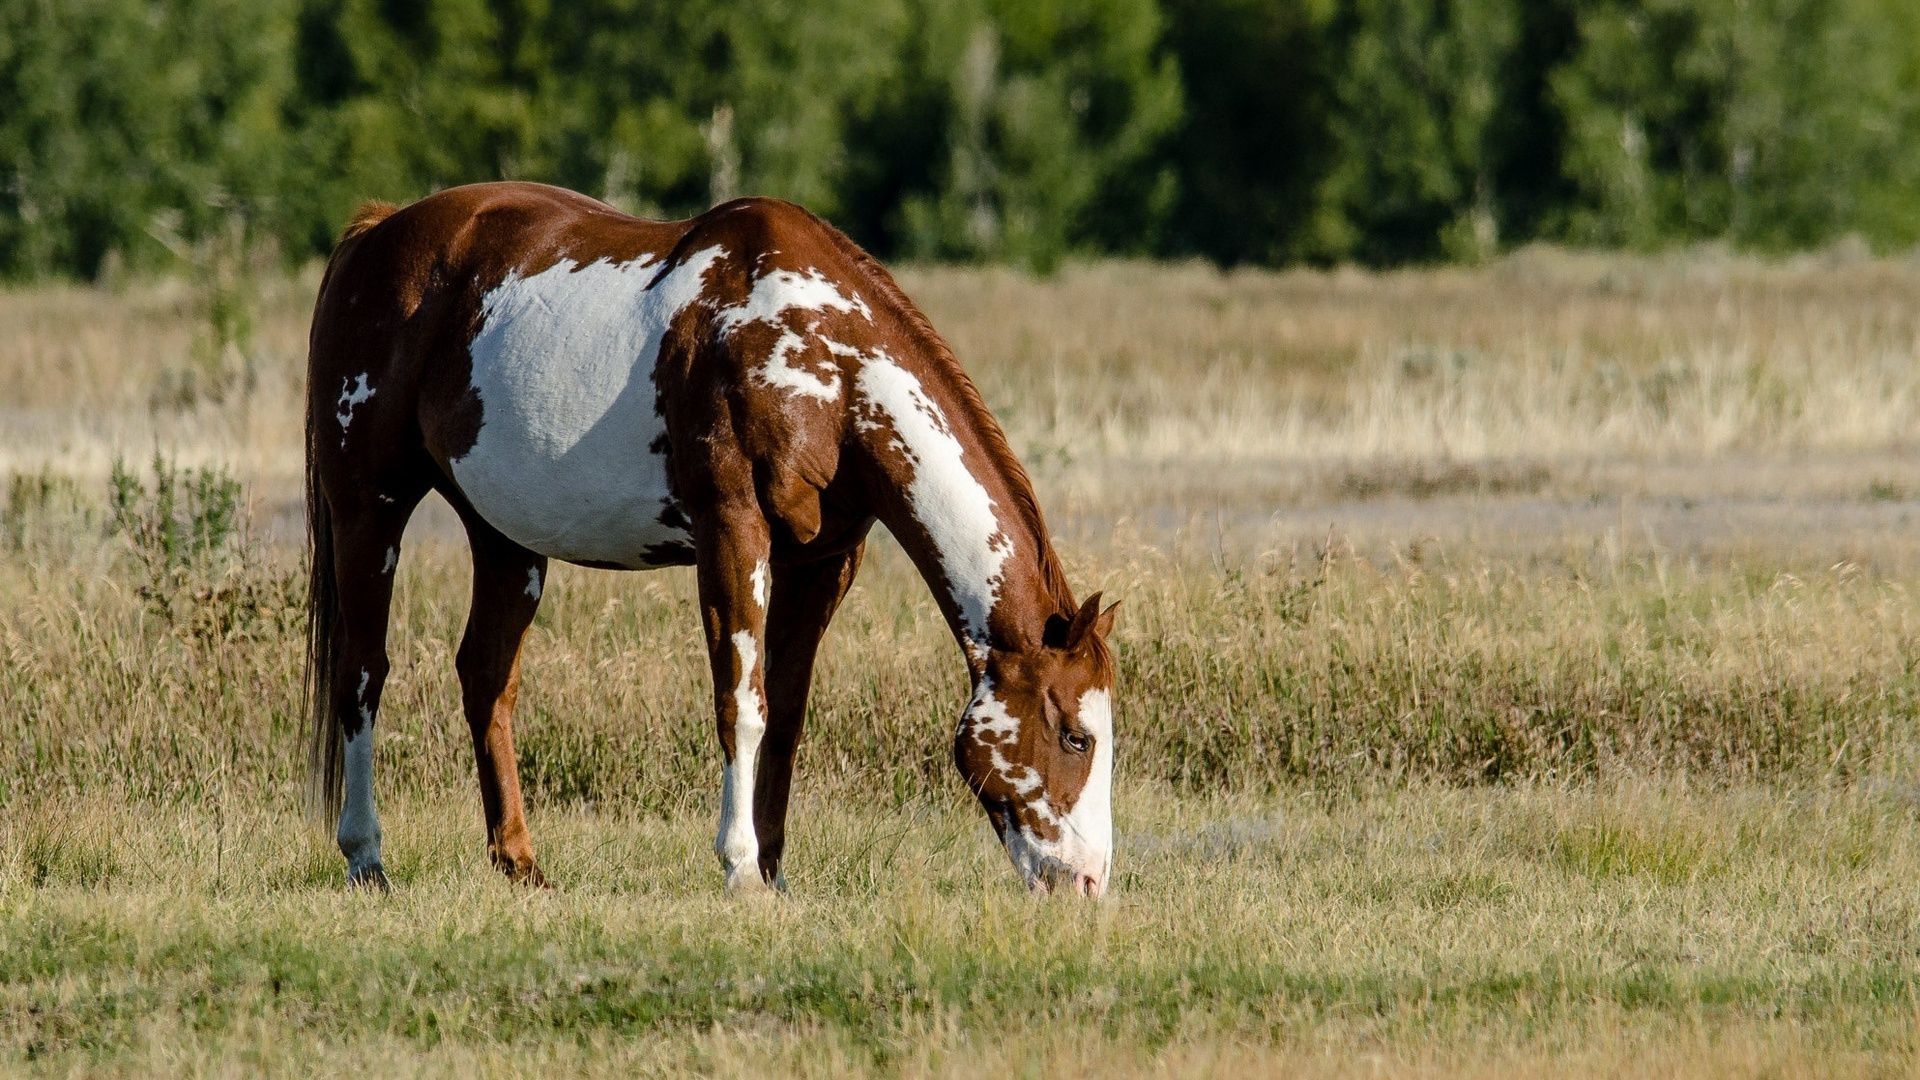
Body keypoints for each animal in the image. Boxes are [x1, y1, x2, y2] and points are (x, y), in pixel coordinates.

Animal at [304, 181, 1118, 898]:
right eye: (1076, 735)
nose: (1087, 882)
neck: (826, 363)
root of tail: (376, 233)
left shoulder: (824, 560)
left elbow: (784, 715)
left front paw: (774, 870)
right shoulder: (733, 530)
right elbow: (740, 703)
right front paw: (739, 867)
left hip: (504, 536)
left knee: (486, 678)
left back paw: (521, 864)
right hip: (369, 508)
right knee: (362, 672)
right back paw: (366, 857)